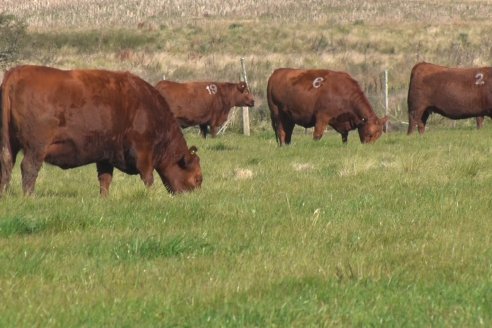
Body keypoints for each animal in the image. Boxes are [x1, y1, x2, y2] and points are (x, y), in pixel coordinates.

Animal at [0, 65, 203, 196]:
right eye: (197, 179)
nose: (194, 199)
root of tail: (16, 73)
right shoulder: (143, 151)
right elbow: (147, 177)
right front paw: (152, 196)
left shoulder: (105, 155)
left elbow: (105, 179)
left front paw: (104, 198)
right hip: (36, 147)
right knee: (29, 167)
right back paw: (29, 196)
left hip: (9, 143)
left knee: (6, 164)